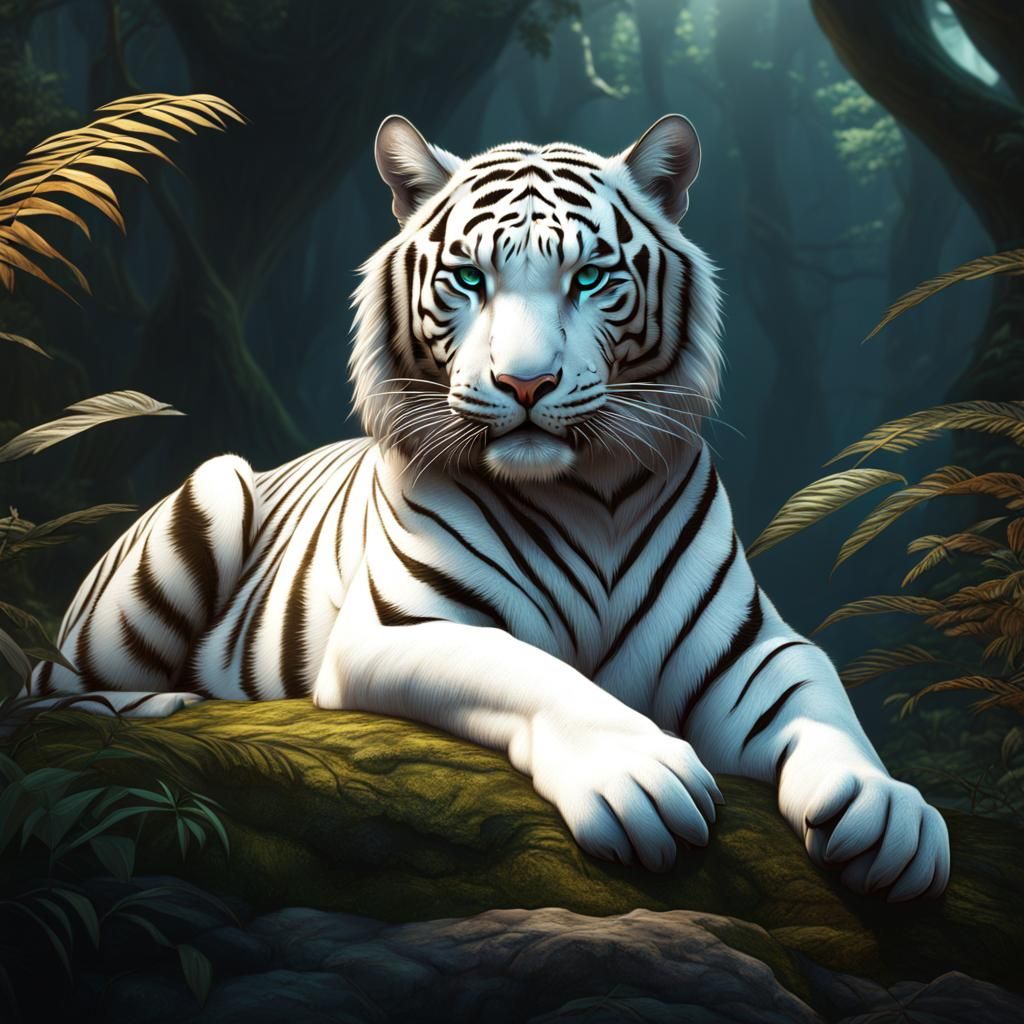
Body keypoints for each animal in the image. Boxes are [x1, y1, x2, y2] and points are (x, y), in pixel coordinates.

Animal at [30, 114, 950, 900]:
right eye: (470, 278)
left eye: (590, 277)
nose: (526, 383)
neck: (589, 497)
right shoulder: (401, 627)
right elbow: (535, 670)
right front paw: (637, 773)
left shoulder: (744, 645)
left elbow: (819, 694)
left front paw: (886, 809)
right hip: (212, 487)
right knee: (48, 690)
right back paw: (160, 706)